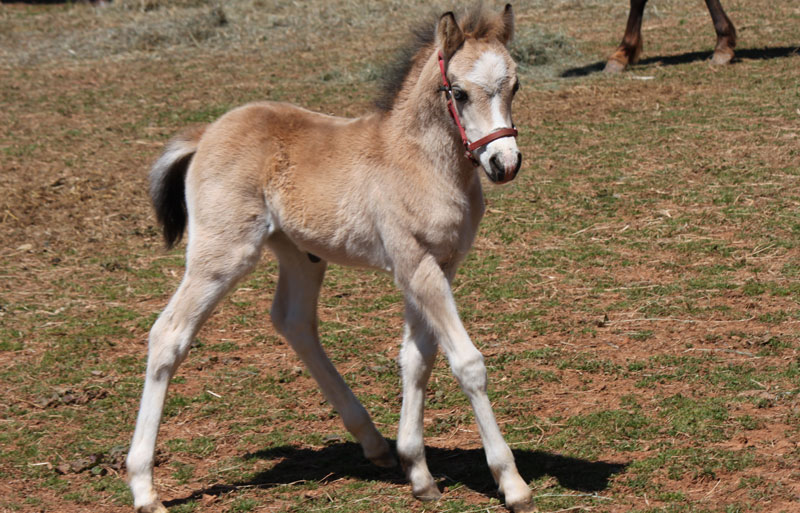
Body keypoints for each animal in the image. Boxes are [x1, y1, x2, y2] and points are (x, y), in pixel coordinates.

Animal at [128, 5, 536, 512]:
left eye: (515, 86)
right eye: (458, 93)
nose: (505, 163)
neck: (418, 161)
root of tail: (205, 134)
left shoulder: (438, 266)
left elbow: (416, 358)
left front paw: (418, 472)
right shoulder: (416, 265)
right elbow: (467, 363)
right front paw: (511, 482)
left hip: (301, 255)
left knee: (294, 321)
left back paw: (375, 443)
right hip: (222, 254)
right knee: (168, 335)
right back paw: (144, 488)